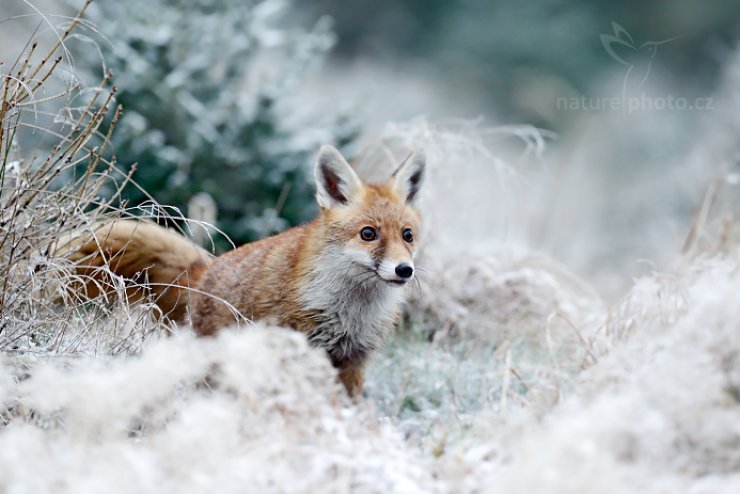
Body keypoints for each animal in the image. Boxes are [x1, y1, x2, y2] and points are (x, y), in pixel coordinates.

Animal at [66, 145, 424, 396]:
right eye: (368, 233)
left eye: (407, 235)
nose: (404, 270)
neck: (350, 311)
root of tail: (207, 268)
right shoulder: (299, 353)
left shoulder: (353, 361)